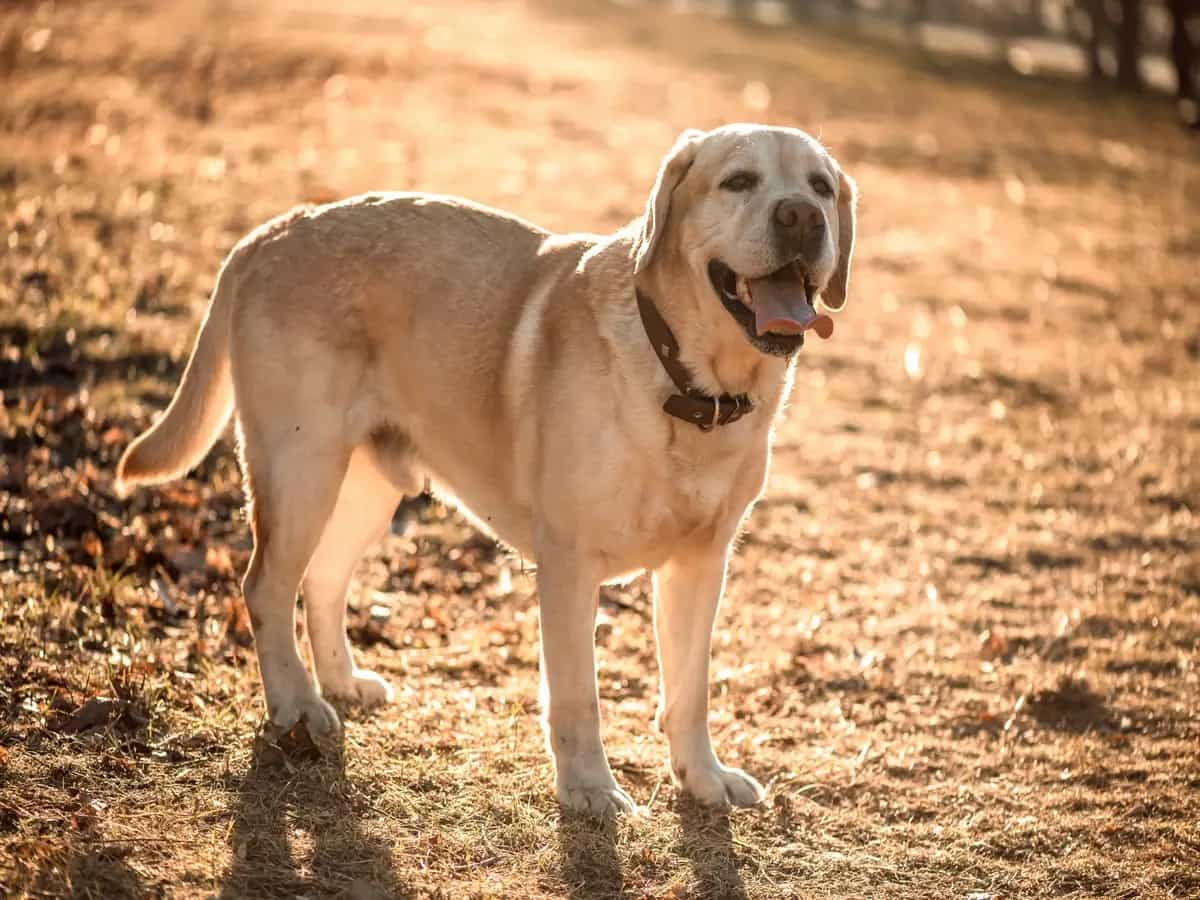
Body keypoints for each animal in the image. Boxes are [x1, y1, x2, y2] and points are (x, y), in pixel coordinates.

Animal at [119, 123, 854, 820]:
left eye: (820, 186)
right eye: (739, 180)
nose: (801, 217)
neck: (688, 386)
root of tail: (272, 230)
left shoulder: (700, 566)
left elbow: (690, 690)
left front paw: (702, 779)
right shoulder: (569, 565)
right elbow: (577, 695)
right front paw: (589, 789)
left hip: (364, 489)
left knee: (321, 581)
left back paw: (341, 683)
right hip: (300, 470)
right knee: (266, 587)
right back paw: (297, 707)